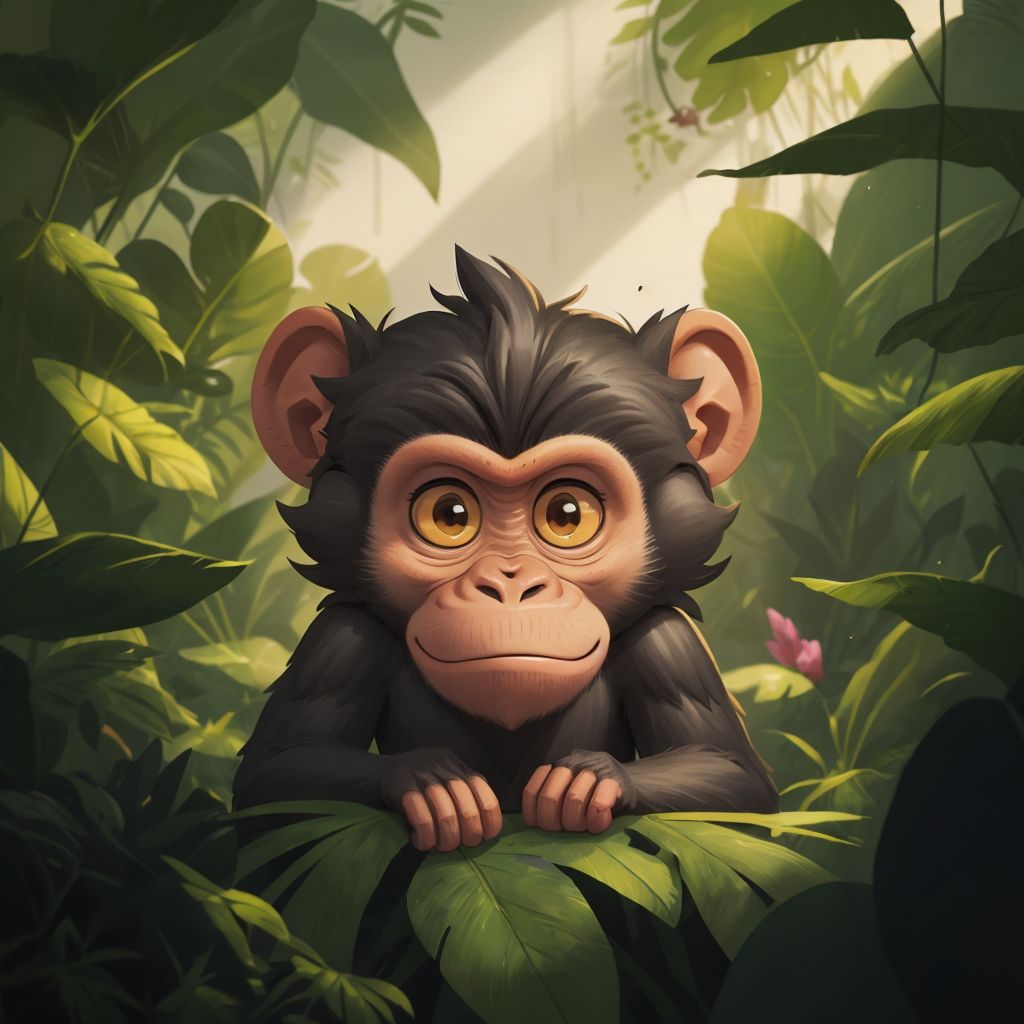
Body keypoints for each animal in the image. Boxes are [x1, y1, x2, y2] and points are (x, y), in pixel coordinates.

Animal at [234, 247, 777, 852]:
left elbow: (736, 783)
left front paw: (591, 782)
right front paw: (430, 783)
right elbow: (274, 779)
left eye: (567, 513)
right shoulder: (342, 637)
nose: (510, 583)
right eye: (449, 513)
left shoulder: (668, 643)